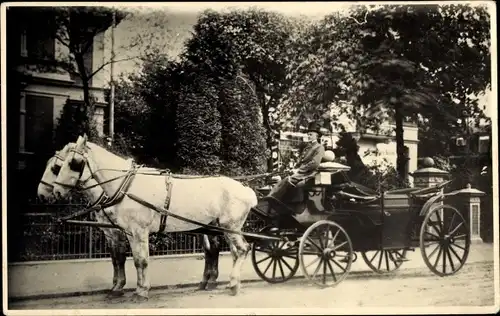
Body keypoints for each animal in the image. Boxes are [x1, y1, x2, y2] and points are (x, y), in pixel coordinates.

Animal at [49, 135, 258, 300]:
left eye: (73, 163)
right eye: (59, 166)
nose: (56, 191)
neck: (126, 186)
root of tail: (246, 190)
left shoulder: (139, 231)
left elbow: (141, 261)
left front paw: (142, 291)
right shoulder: (129, 233)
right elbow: (131, 260)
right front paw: (134, 289)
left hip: (230, 227)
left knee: (242, 249)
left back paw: (233, 284)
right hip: (221, 228)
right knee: (232, 252)